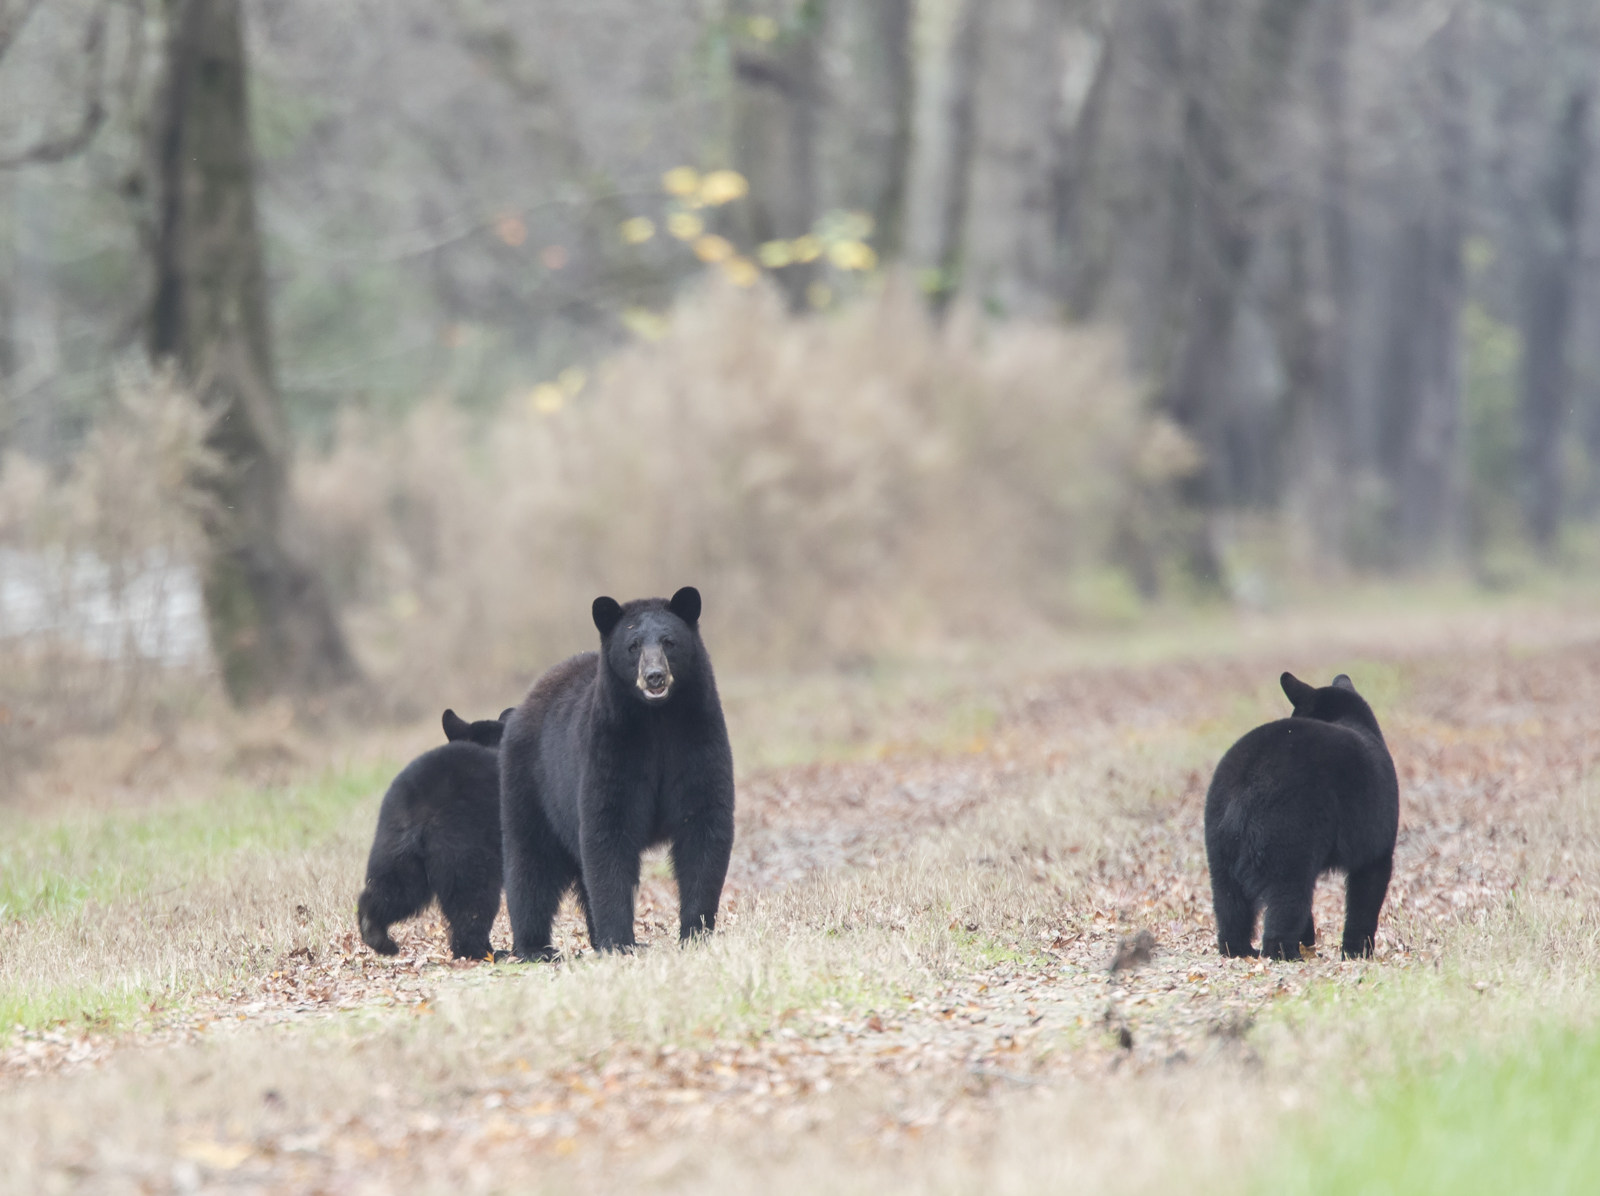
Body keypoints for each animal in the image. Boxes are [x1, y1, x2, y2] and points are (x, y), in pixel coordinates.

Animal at [357, 707, 515, 959]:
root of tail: (421, 810)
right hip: (465, 845)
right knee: (473, 899)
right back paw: (481, 951)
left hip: (394, 849)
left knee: (395, 889)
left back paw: (376, 934)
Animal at [499, 586, 735, 959]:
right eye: (633, 645)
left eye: (669, 641)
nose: (654, 676)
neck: (657, 719)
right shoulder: (612, 745)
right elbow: (609, 829)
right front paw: (619, 942)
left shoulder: (698, 737)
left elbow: (704, 824)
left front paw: (695, 932)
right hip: (530, 782)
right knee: (530, 860)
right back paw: (535, 947)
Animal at [1203, 672, 1399, 960]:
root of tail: (1246, 783)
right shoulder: (1376, 831)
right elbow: (1369, 883)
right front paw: (1358, 950)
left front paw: (1310, 940)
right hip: (1288, 828)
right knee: (1289, 893)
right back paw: (1284, 951)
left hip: (1218, 833)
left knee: (1229, 897)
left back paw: (1238, 948)